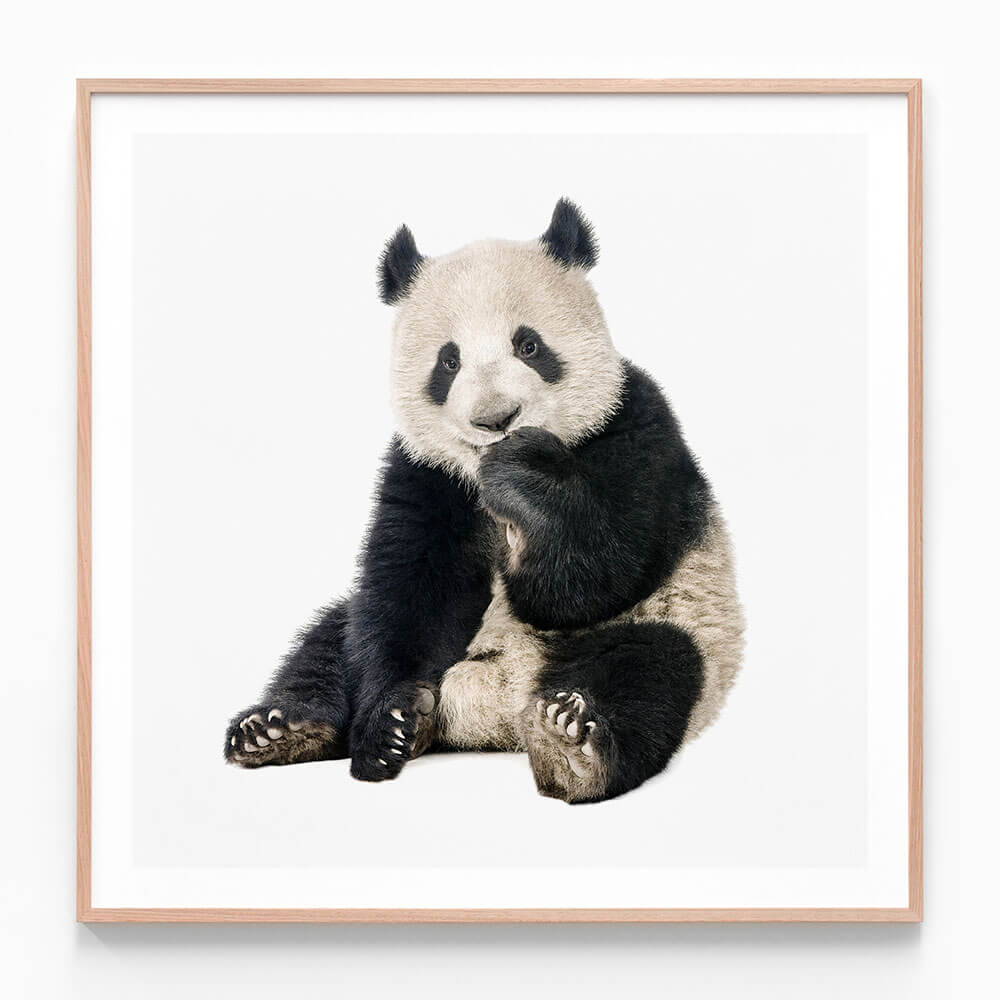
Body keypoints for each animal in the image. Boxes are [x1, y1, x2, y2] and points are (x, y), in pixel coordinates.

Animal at [224, 199, 745, 804]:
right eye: (448, 362)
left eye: (529, 346)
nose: (496, 420)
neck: (480, 473)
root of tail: (494, 712)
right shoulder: (426, 473)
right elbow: (410, 589)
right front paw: (388, 726)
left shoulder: (635, 427)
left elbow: (593, 576)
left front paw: (525, 483)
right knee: (332, 640)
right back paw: (281, 728)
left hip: (682, 623)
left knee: (648, 671)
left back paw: (572, 746)